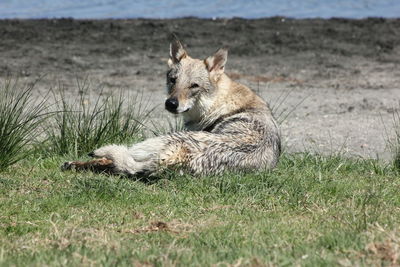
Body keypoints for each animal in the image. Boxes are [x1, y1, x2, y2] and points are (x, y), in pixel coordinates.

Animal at [61, 39, 282, 178]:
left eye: (194, 86)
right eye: (173, 80)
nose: (171, 103)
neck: (217, 102)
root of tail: (181, 157)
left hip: (149, 142)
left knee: (112, 160)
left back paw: (76, 163)